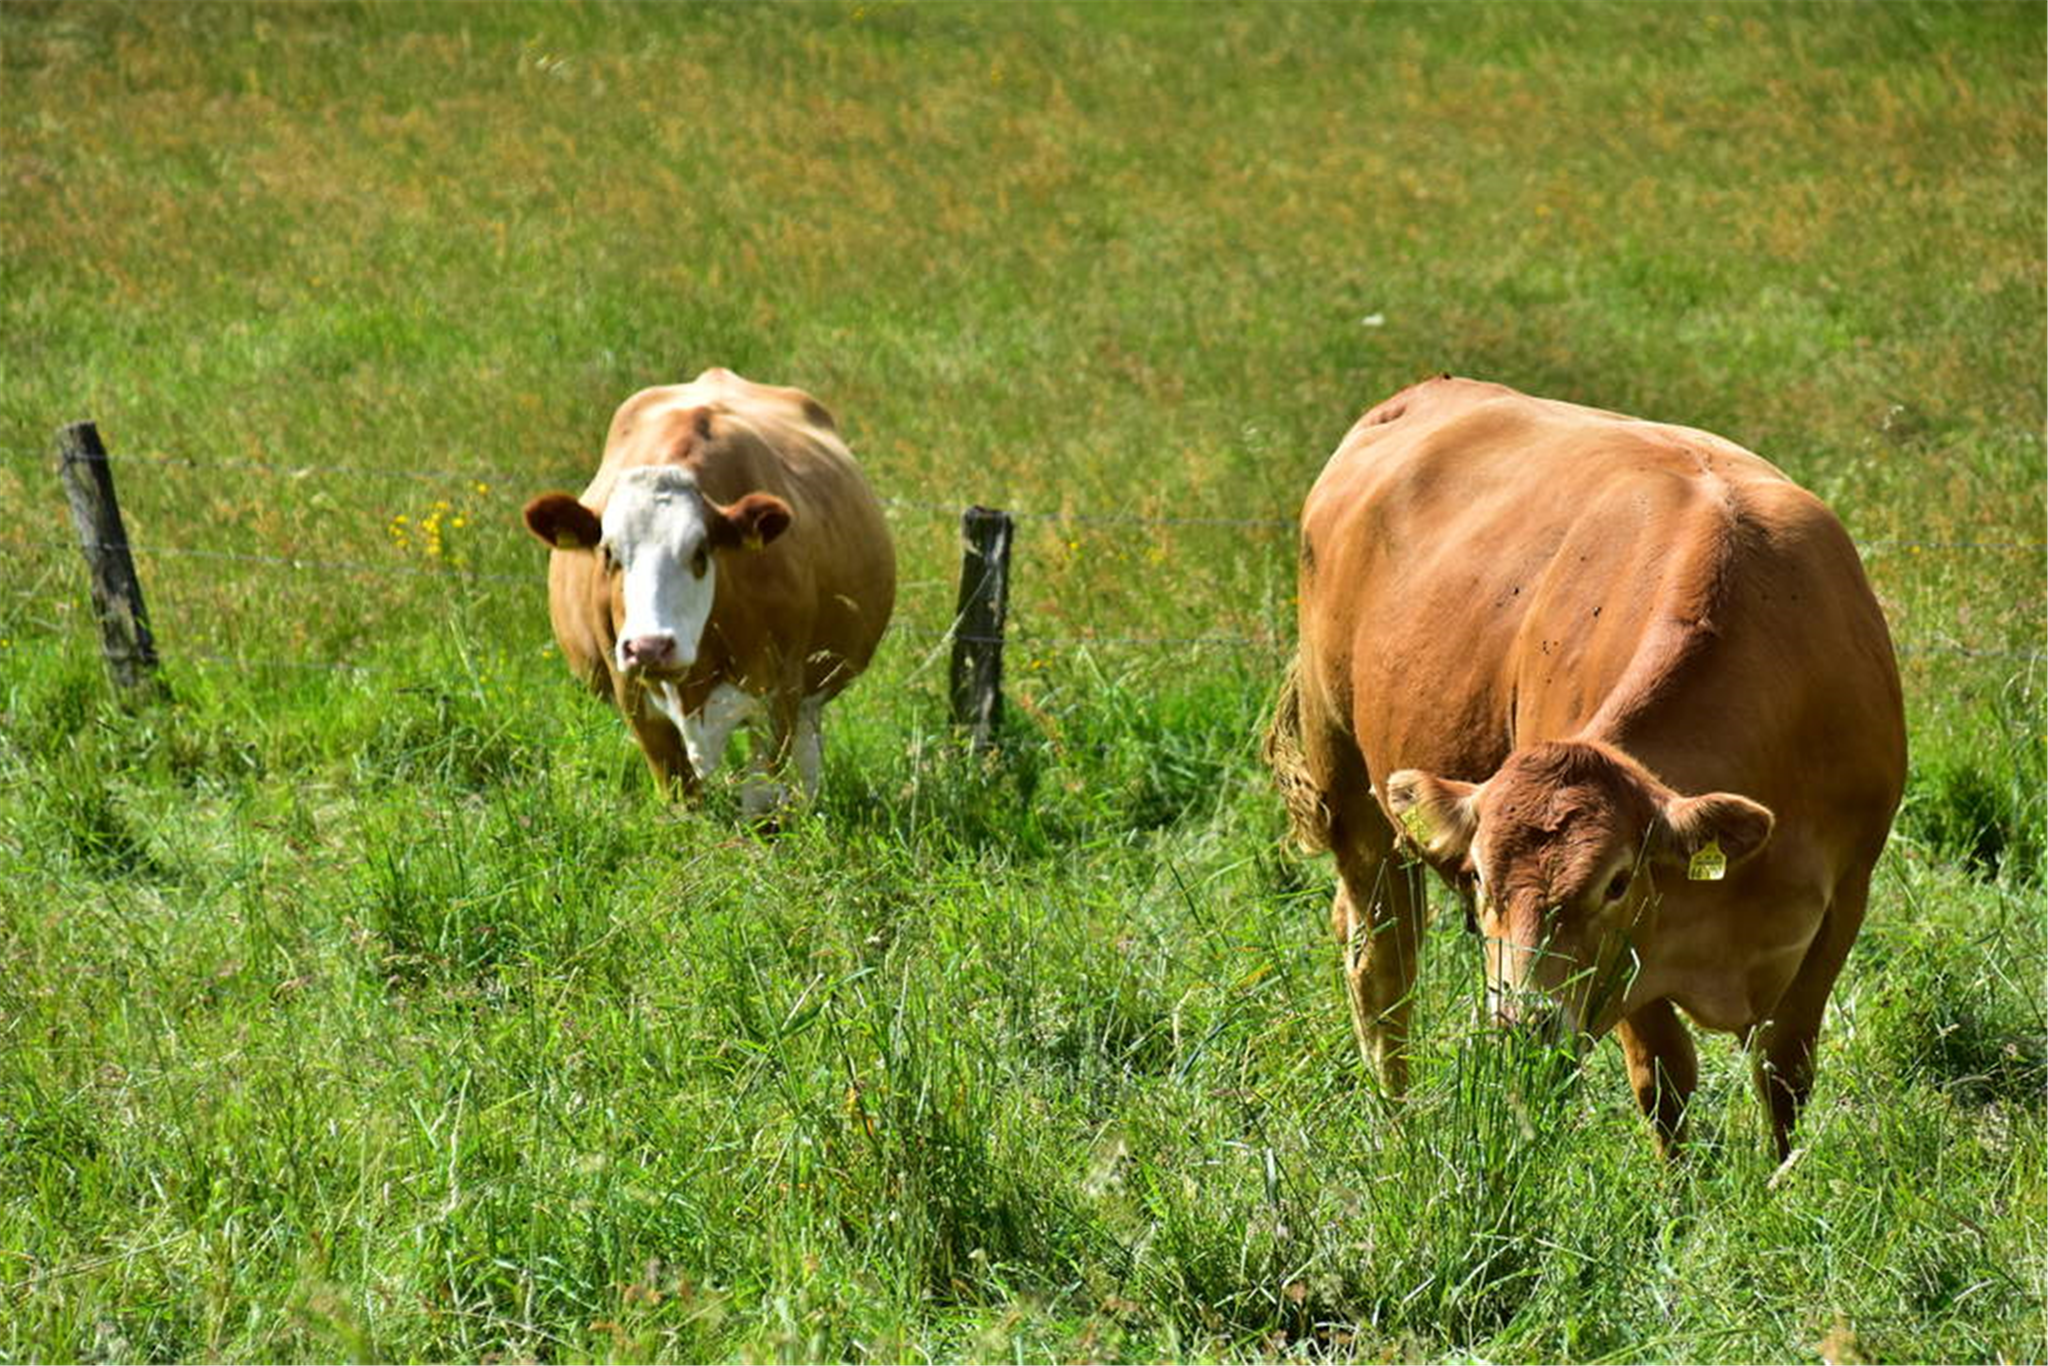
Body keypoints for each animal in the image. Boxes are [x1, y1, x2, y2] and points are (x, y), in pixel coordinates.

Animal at [524, 366, 892, 810]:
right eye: (609, 552)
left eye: (700, 552)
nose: (649, 647)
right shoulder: (636, 702)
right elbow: (681, 798)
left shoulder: (780, 696)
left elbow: (761, 798)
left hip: (810, 692)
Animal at [1253, 374, 1908, 1155]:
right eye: (1479, 874)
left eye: (1617, 881)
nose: (1520, 1020)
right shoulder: (1629, 965)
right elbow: (1665, 1078)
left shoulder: (1844, 897)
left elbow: (1784, 1072)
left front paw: (1777, 1176)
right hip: (1350, 785)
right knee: (1382, 963)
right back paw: (1399, 1125)